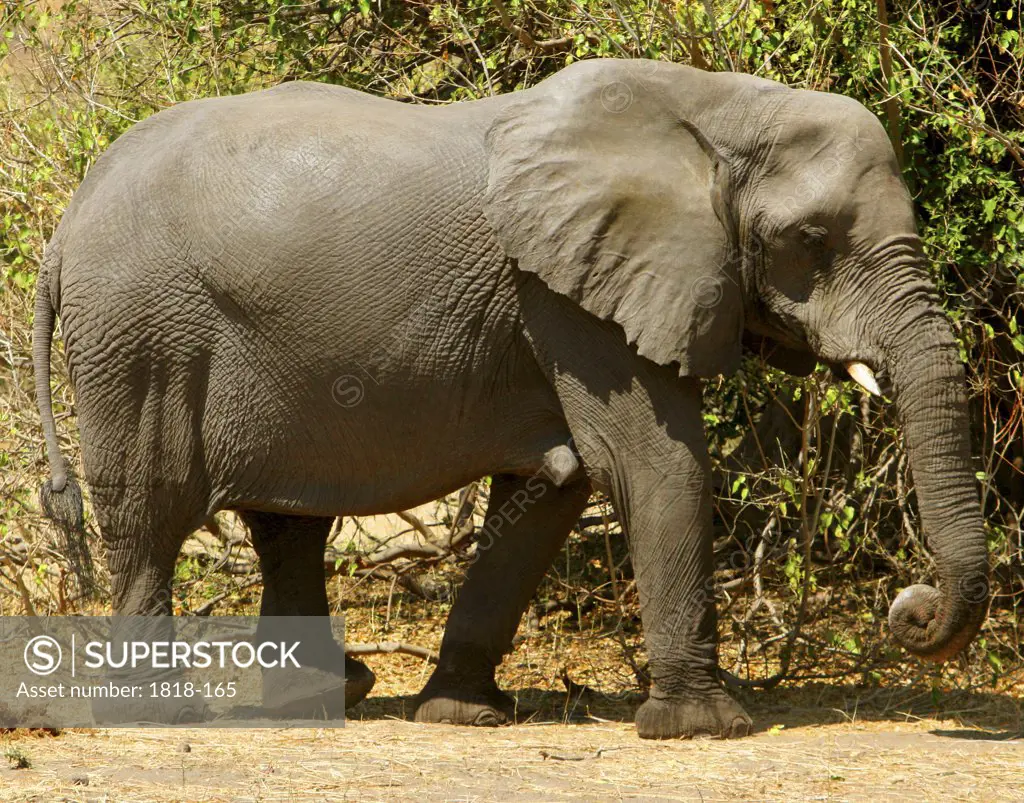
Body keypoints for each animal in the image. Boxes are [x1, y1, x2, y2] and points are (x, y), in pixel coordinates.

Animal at [36, 58, 987, 741]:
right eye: (810, 240)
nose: (909, 608)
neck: (719, 109)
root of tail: (67, 217)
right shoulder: (569, 290)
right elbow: (651, 461)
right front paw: (704, 728)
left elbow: (556, 485)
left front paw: (465, 715)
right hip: (140, 332)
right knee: (149, 514)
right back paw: (159, 711)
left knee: (286, 523)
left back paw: (331, 692)